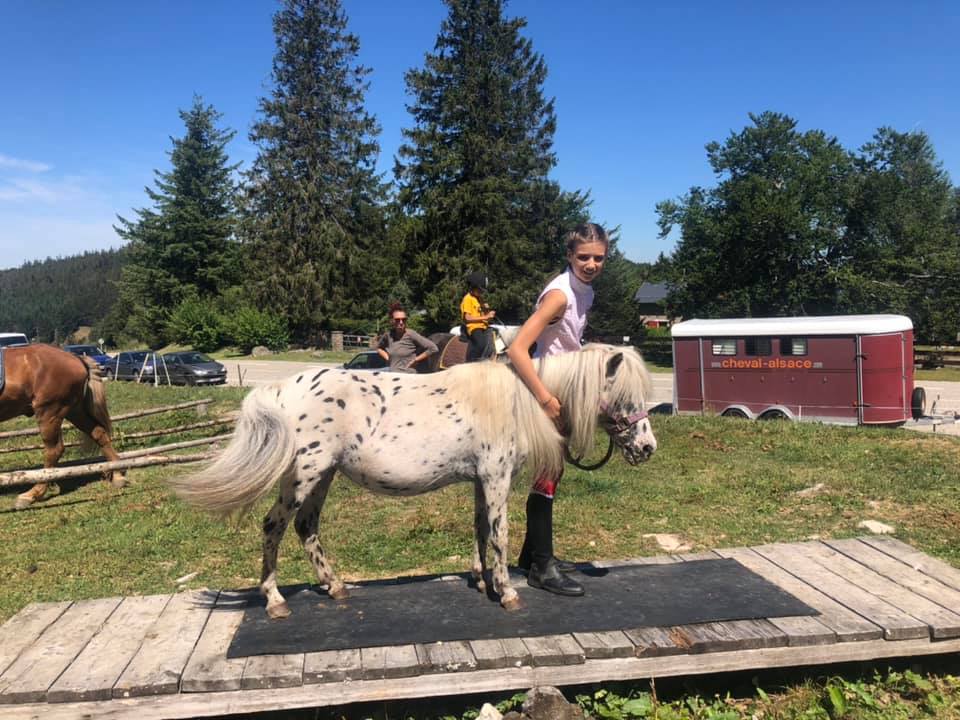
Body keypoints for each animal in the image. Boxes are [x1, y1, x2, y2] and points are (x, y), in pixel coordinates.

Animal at [0, 344, 126, 509]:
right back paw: (117, 474)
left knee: (53, 451)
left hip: (49, 412)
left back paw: (32, 494)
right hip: (74, 410)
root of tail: (75, 358)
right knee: (99, 433)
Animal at [169, 343, 657, 618]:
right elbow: (499, 534)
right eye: (625, 396)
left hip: (322, 475)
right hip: (303, 475)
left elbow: (480, 530)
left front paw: (482, 582)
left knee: (307, 527)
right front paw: (507, 594)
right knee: (274, 526)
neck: (516, 400)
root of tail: (282, 389)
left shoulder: (480, 480)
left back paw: (336, 587)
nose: (648, 448)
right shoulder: (496, 477)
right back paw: (275, 601)